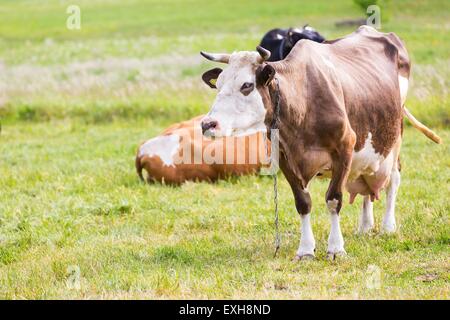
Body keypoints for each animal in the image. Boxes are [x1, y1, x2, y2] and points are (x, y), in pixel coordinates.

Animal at [200, 25, 440, 260]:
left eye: (247, 85)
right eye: (218, 85)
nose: (207, 124)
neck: (303, 101)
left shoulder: (344, 148)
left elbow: (333, 200)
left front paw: (336, 247)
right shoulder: (283, 156)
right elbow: (303, 203)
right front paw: (306, 249)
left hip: (395, 135)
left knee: (394, 178)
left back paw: (388, 226)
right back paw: (365, 225)